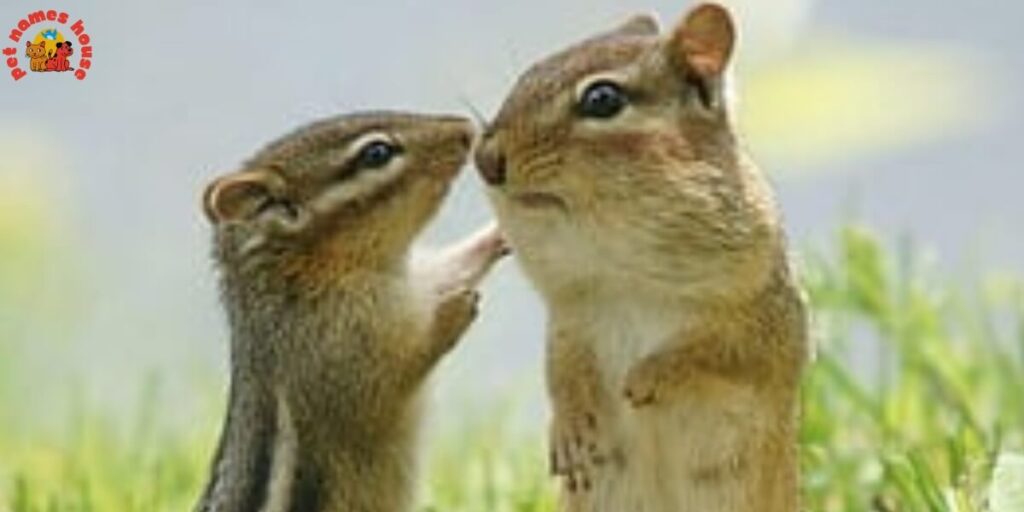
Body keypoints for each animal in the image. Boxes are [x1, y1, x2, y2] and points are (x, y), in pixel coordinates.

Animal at [195, 111, 508, 512]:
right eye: (377, 153)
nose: (466, 128)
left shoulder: (412, 286)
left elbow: (449, 268)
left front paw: (499, 233)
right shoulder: (339, 353)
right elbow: (396, 369)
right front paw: (454, 311)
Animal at [475, 4, 809, 511]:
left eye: (602, 100)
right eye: (526, 74)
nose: (485, 159)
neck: (623, 273)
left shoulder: (758, 315)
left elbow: (721, 352)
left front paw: (648, 375)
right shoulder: (570, 317)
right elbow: (560, 370)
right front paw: (568, 428)